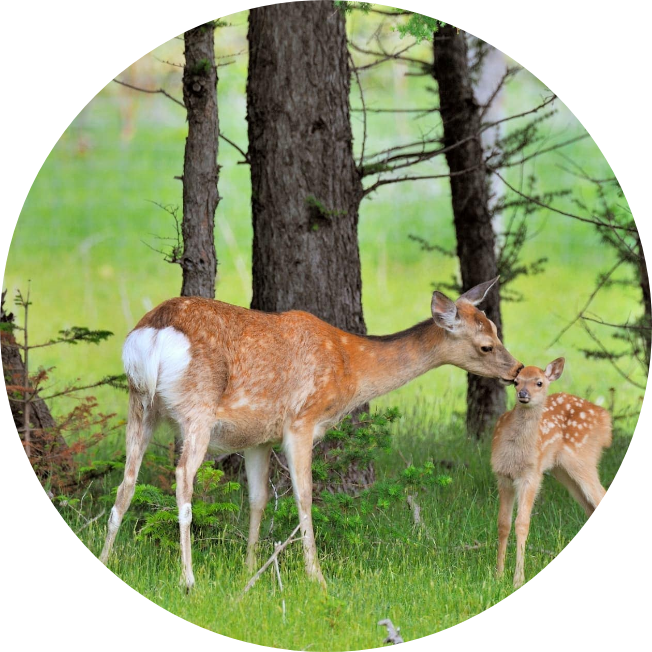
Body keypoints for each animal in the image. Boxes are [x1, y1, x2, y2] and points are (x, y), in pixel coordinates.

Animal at [99, 276, 523, 592]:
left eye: (496, 329)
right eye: (486, 345)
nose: (517, 369)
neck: (349, 367)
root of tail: (153, 334)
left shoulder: (258, 438)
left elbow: (257, 499)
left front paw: (249, 569)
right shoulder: (301, 421)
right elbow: (304, 497)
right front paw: (316, 576)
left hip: (140, 404)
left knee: (127, 481)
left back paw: (103, 565)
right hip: (196, 408)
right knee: (182, 477)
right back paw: (188, 579)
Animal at [491, 357, 612, 589]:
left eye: (539, 382)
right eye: (516, 382)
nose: (523, 394)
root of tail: (606, 421)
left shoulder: (532, 475)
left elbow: (522, 523)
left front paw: (517, 581)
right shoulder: (503, 476)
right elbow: (503, 524)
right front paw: (498, 576)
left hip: (583, 459)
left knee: (606, 502)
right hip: (563, 471)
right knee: (593, 509)